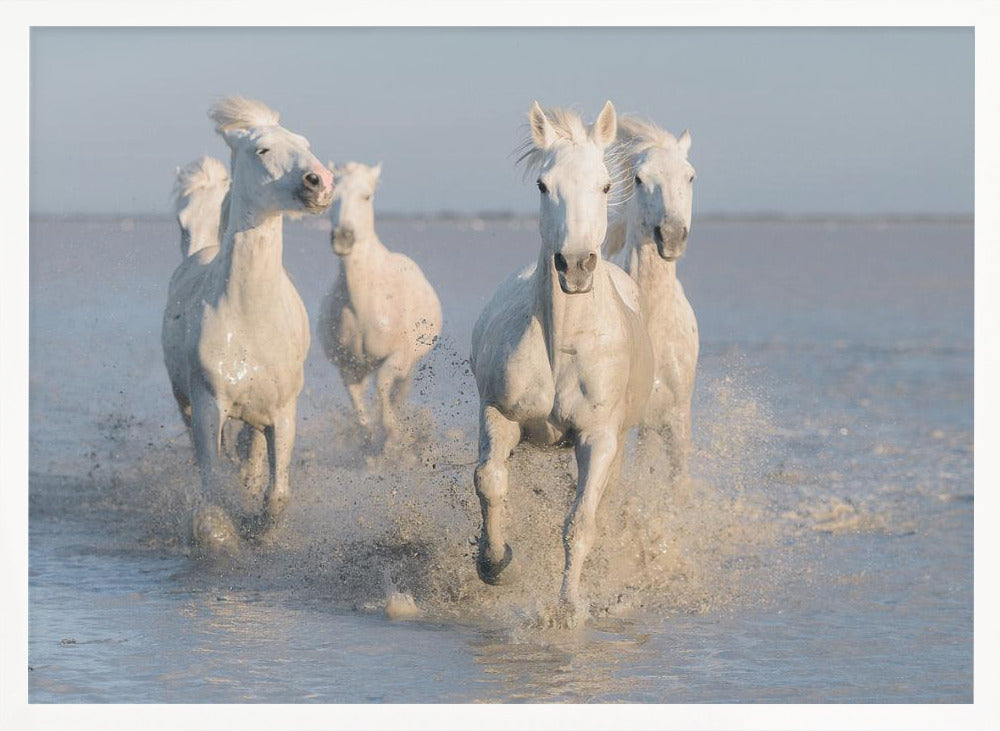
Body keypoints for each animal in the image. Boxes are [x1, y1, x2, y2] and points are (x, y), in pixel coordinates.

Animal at [162, 96, 334, 553]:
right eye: (263, 149)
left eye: (305, 142)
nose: (321, 182)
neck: (249, 319)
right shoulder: (208, 406)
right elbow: (212, 491)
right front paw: (223, 534)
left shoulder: (283, 413)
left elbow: (277, 494)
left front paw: (259, 527)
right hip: (184, 401)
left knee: (252, 450)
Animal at [317, 161, 442, 452]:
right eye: (332, 196)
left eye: (367, 196)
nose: (343, 238)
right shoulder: (348, 366)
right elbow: (360, 408)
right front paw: (370, 441)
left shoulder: (399, 356)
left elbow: (384, 386)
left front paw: (394, 435)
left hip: (411, 363)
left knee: (397, 390)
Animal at [470, 101, 654, 623]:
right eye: (542, 185)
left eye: (606, 185)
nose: (574, 266)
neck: (565, 346)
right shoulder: (499, 414)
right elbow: (490, 481)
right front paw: (495, 563)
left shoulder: (598, 437)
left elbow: (580, 521)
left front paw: (569, 607)